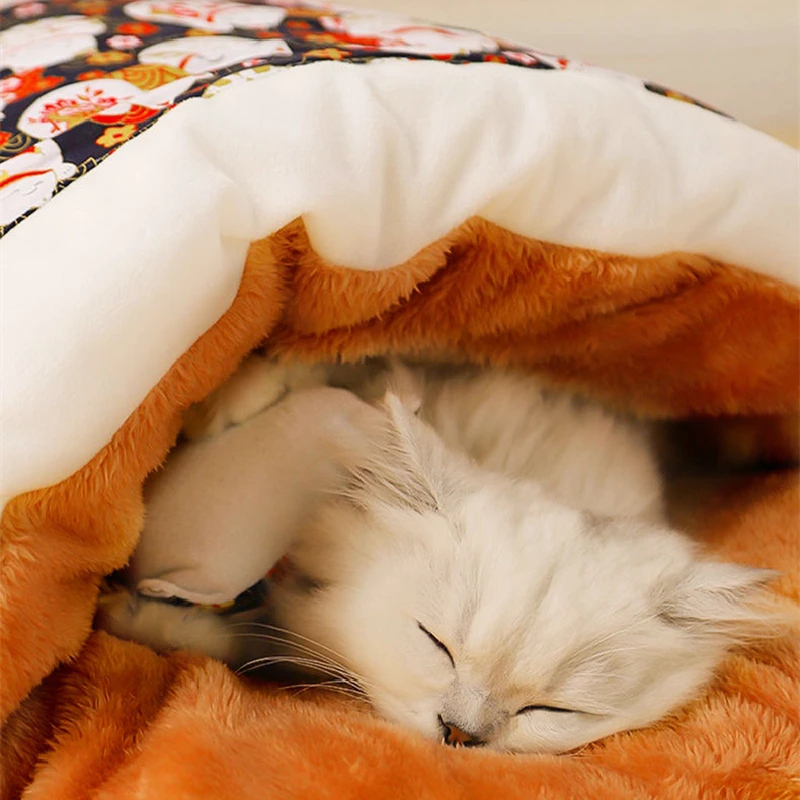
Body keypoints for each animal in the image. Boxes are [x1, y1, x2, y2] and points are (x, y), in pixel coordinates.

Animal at [98, 360, 780, 752]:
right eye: (436, 643)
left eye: (553, 709)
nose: (459, 733)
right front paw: (224, 402)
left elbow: (225, 637)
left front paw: (127, 613)